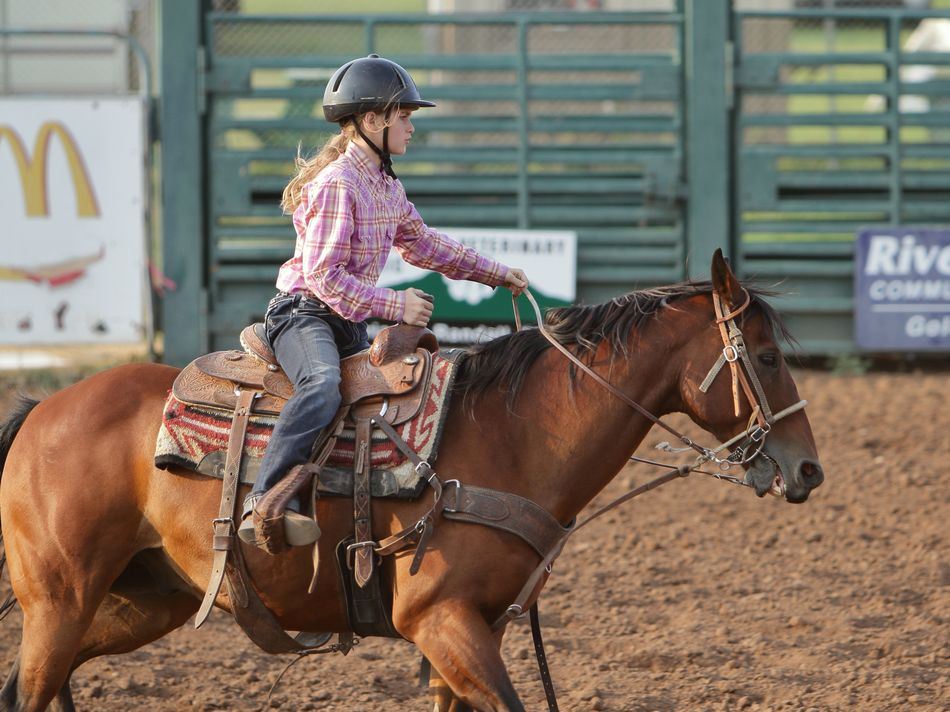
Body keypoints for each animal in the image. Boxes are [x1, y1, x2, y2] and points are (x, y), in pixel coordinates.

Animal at [0, 251, 823, 711]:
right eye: (767, 356)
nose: (809, 469)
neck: (510, 437)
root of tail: (45, 409)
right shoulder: (438, 617)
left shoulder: (476, 625)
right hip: (61, 598)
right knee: (32, 688)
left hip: (143, 598)